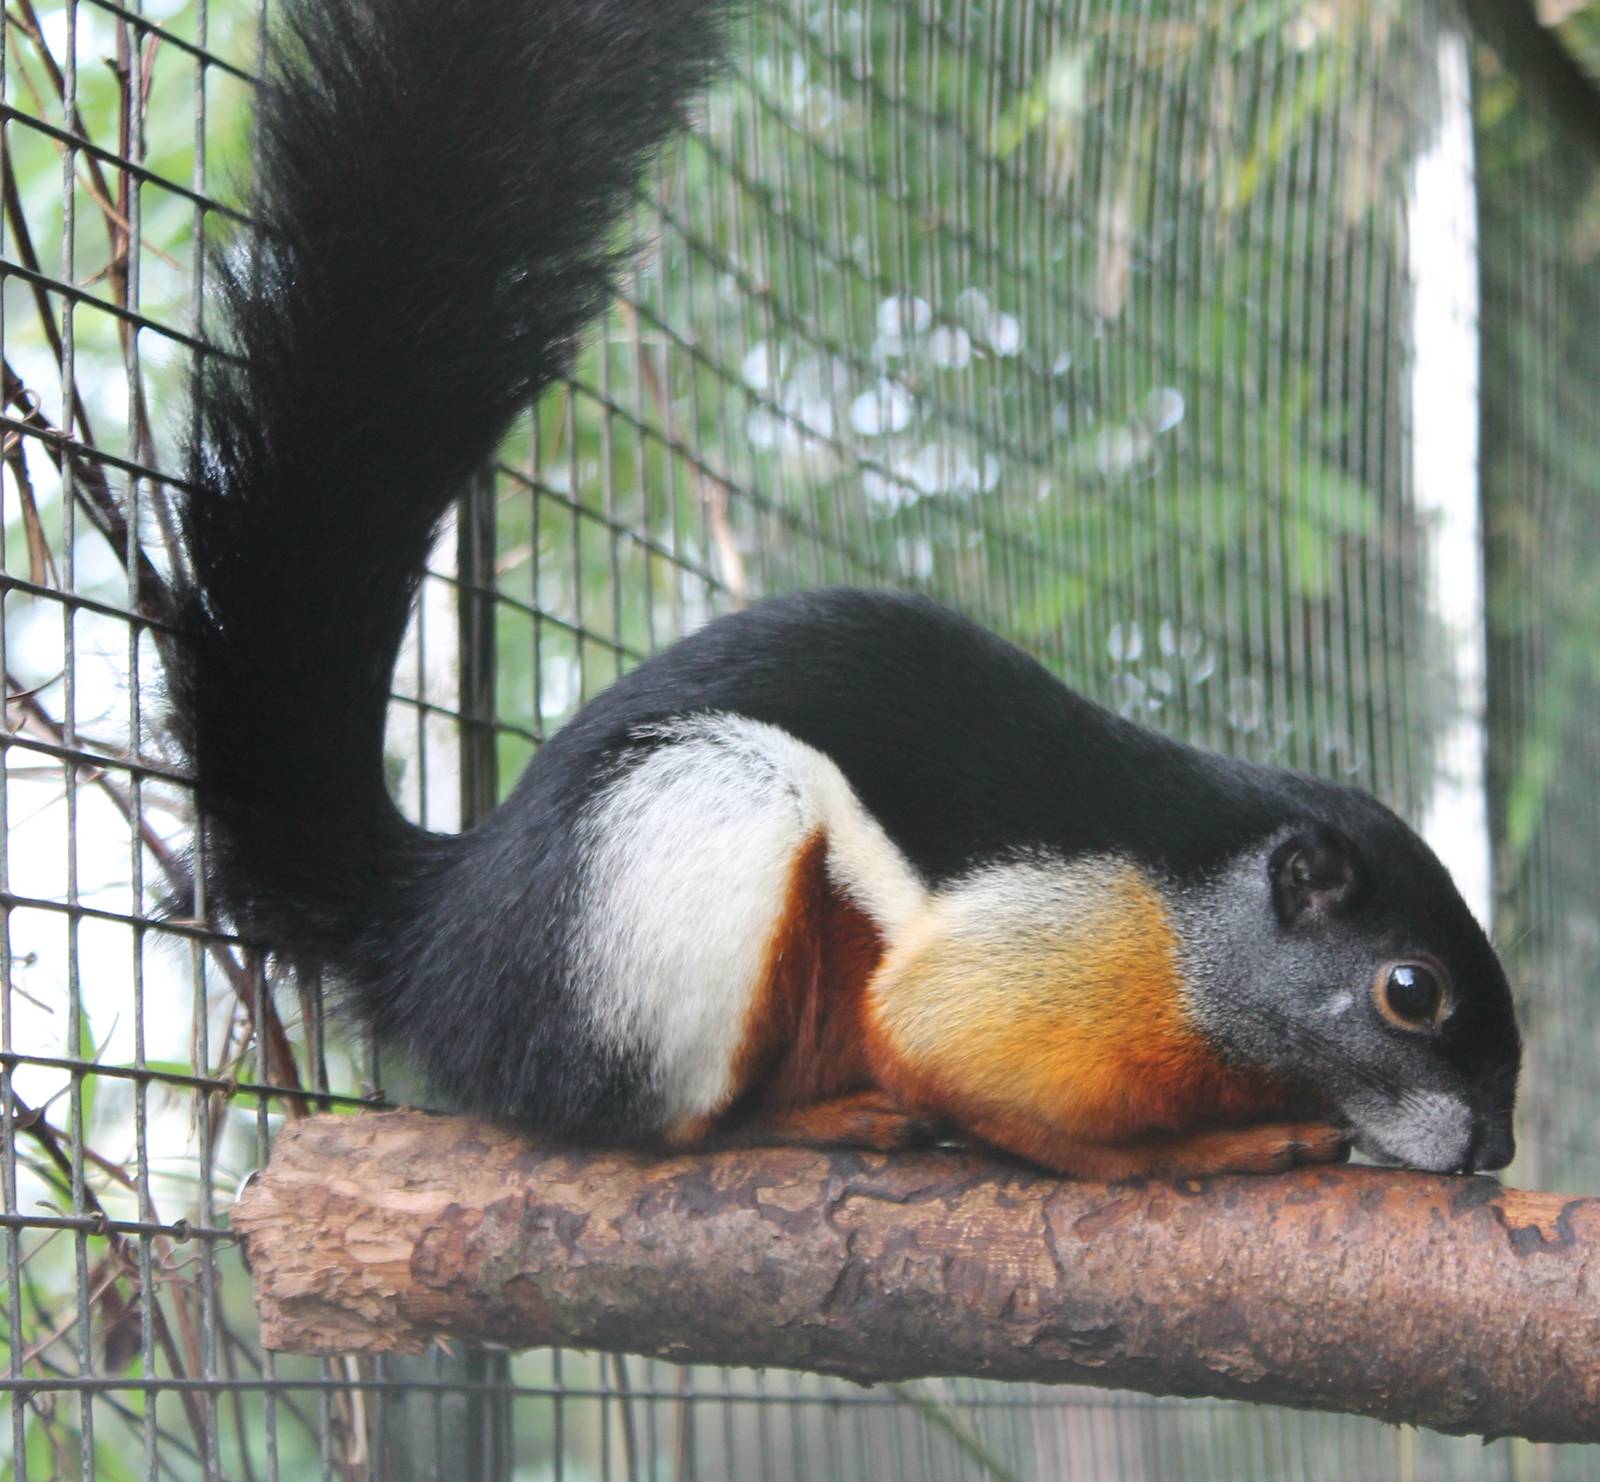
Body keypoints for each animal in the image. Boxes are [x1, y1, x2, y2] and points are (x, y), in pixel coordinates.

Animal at [168, 0, 1520, 1181]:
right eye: (1410, 992)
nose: (1495, 1150)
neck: (1194, 914)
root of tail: (437, 943)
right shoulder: (1050, 953)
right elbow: (964, 1072)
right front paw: (1208, 1150)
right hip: (689, 838)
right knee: (661, 1125)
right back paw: (808, 1124)